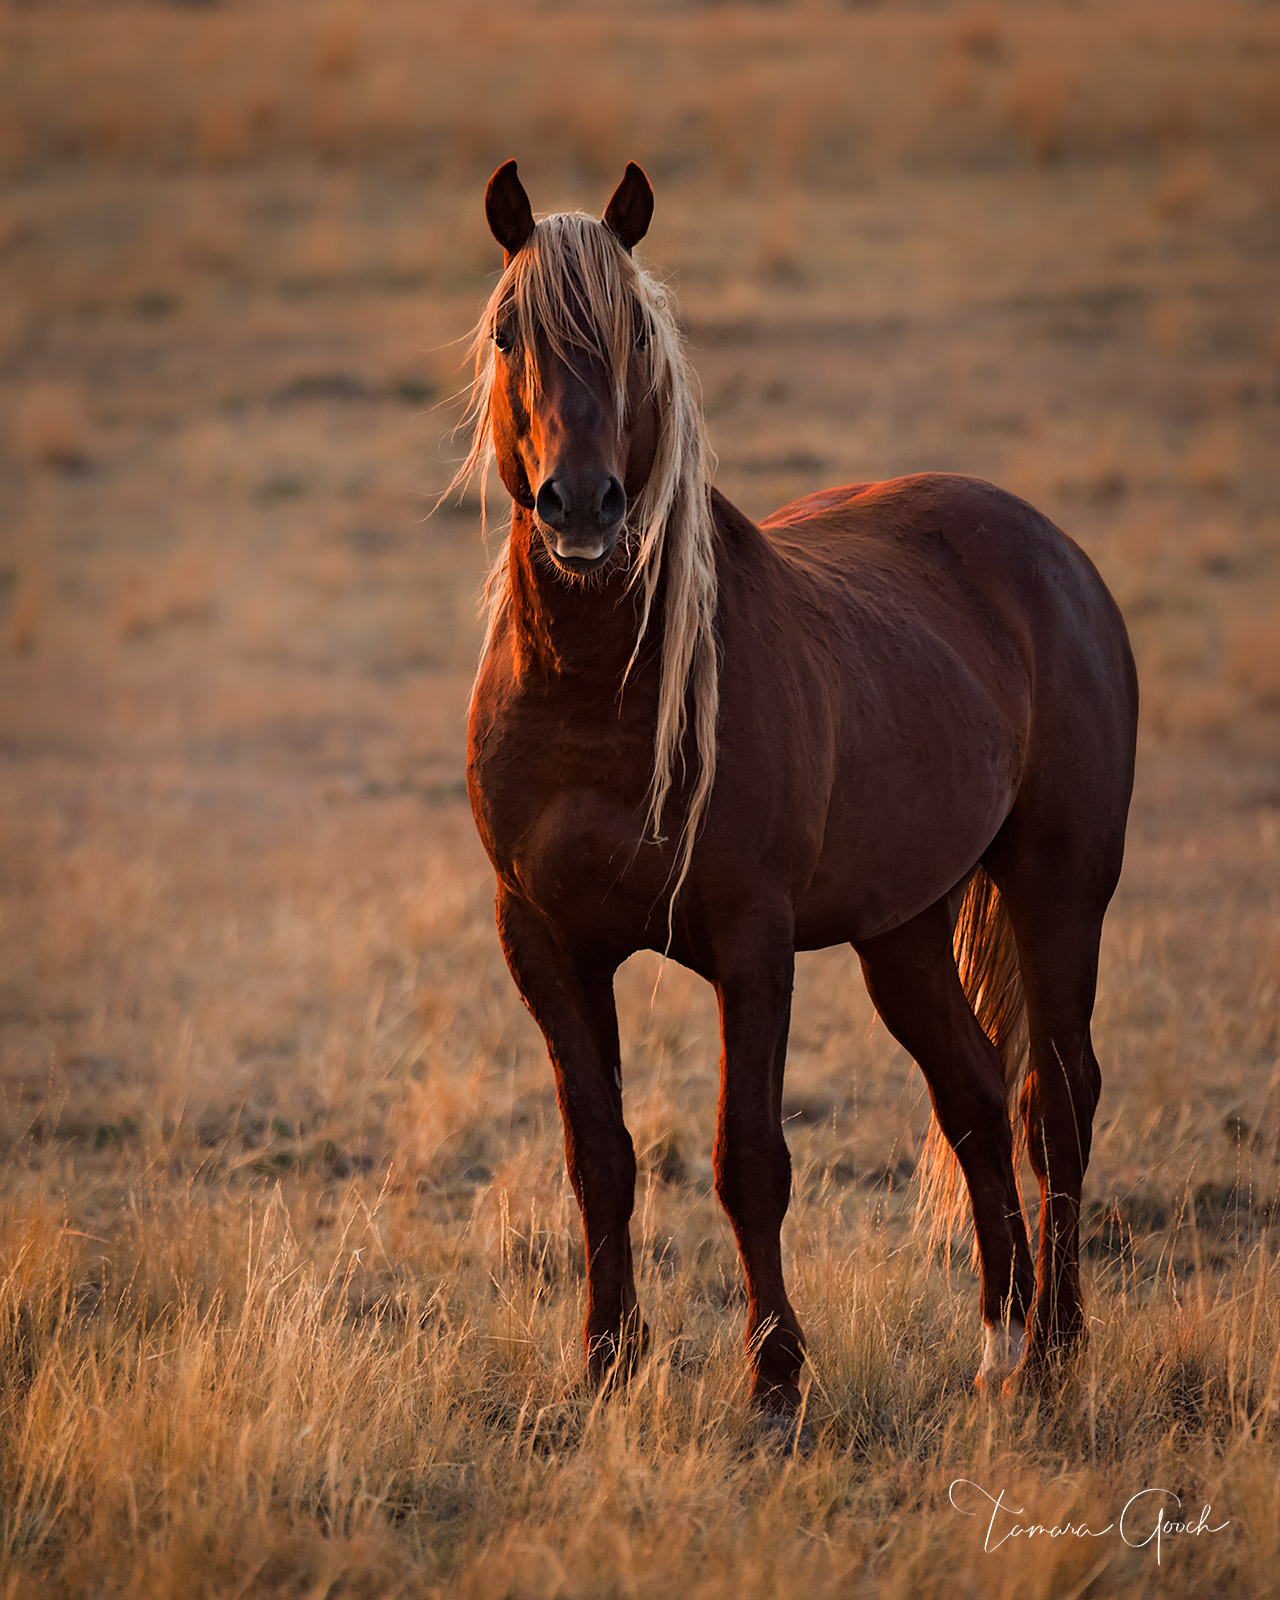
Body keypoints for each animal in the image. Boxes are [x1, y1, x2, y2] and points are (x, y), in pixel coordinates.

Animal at [453, 158, 1138, 1421]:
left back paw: (1056, 1349)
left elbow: (747, 1159)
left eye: (635, 334)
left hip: (1057, 887)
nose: (583, 505)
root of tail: (1050, 549)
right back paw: (998, 1339)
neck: (598, 693)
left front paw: (773, 1375)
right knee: (974, 1098)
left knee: (1055, 1098)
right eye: (507, 330)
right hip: (901, 930)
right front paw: (606, 1360)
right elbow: (598, 1154)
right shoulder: (542, 939)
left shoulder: (750, 940)